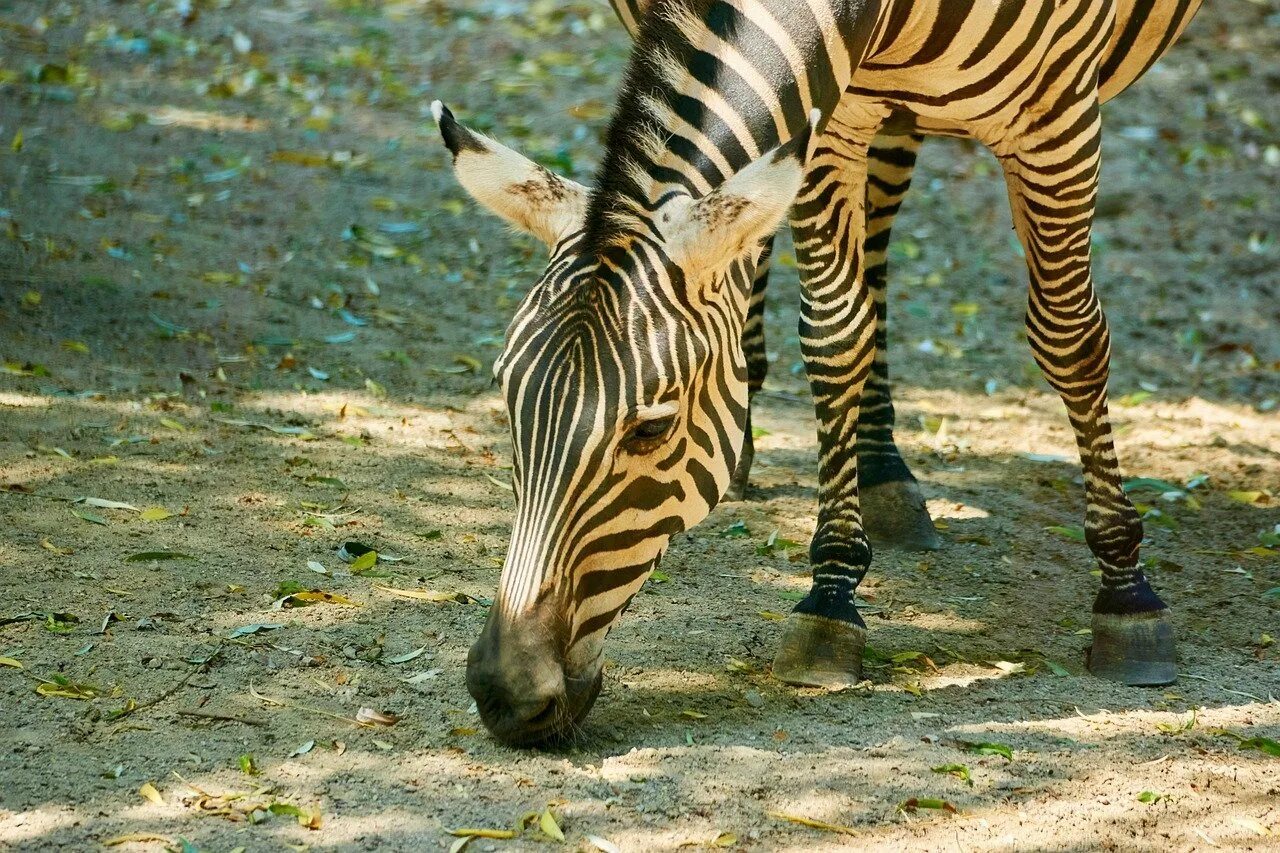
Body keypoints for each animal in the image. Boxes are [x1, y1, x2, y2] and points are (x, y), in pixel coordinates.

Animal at [437, 0, 1198, 742]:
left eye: (651, 430)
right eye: (506, 397)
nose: (504, 694)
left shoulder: (1058, 109)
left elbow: (1069, 334)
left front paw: (1126, 590)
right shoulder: (832, 113)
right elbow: (836, 331)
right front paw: (832, 592)